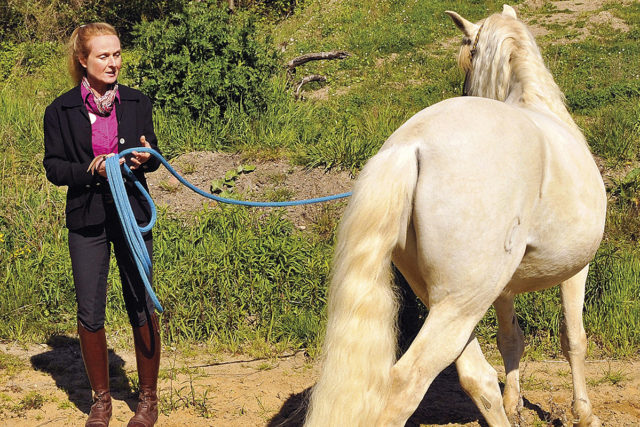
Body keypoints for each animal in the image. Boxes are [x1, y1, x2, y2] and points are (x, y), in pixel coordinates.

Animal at [304, 4, 604, 427]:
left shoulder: (503, 288)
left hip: (451, 302)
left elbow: (511, 339)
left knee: (476, 376)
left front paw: (516, 403)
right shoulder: (577, 269)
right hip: (460, 305)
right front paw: (585, 414)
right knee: (406, 383)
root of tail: (411, 145)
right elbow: (573, 339)